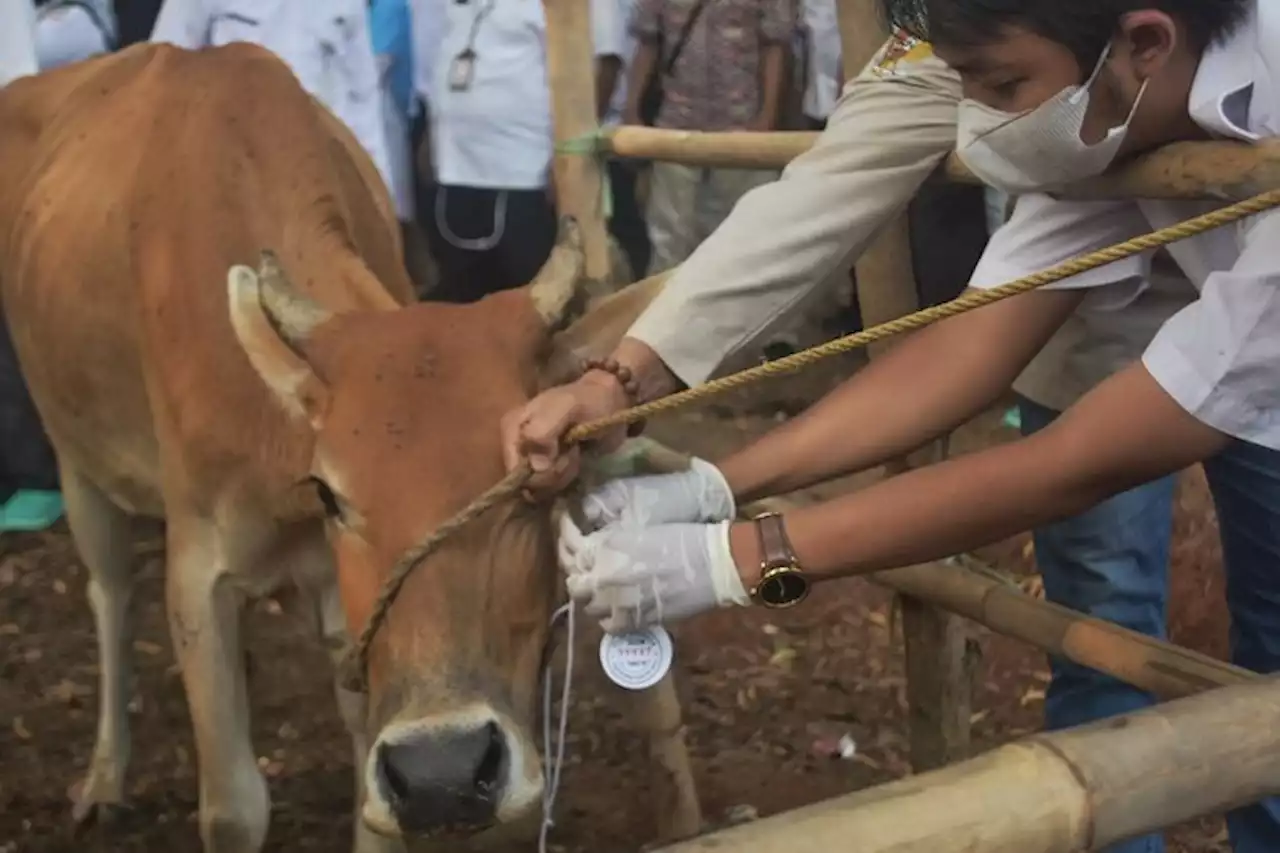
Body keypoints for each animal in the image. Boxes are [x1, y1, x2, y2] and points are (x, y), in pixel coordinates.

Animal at [0, 41, 622, 850]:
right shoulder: (198, 568)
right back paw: (106, 778)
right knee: (109, 593)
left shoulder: (343, 609)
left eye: (535, 482)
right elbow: (234, 806)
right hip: (77, 462)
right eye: (330, 494)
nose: (446, 770)